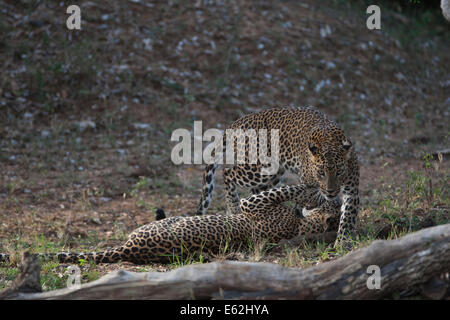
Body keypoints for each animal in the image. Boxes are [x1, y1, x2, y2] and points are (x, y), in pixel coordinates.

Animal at [197, 106, 358, 244]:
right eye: (320, 173)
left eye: (339, 172)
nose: (330, 192)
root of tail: (239, 121)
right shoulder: (306, 181)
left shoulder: (352, 189)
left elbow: (348, 216)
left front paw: (343, 242)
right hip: (257, 169)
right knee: (227, 172)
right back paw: (234, 206)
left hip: (272, 172)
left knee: (256, 189)